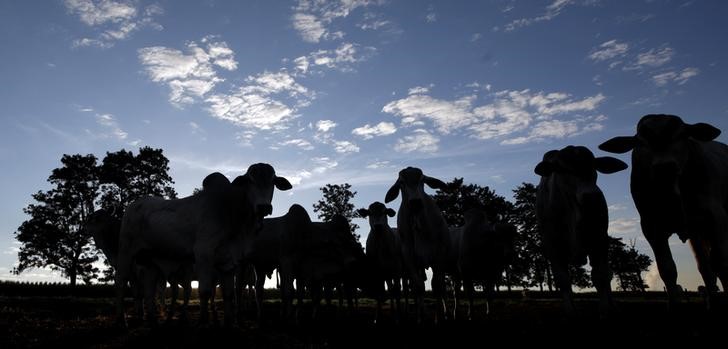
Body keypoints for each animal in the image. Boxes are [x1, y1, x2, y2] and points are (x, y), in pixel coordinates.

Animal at [115, 163, 292, 326]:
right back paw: (121, 321)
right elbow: (205, 292)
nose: (264, 207)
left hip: (151, 261)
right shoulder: (203, 254)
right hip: (125, 252)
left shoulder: (230, 261)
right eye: (250, 180)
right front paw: (203, 321)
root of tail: (133, 205)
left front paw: (229, 323)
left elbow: (228, 294)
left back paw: (153, 321)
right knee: (120, 282)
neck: (230, 212)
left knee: (149, 290)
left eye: (273, 181)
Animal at [532, 145, 628, 314]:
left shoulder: (600, 240)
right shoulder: (552, 247)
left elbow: (601, 275)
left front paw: (605, 308)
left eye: (594, 166)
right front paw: (570, 309)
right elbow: (563, 279)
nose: (592, 196)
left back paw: (612, 303)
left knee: (607, 273)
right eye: (563, 169)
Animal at [596, 114, 728, 304]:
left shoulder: (715, 217)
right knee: (704, 267)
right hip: (695, 232)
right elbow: (667, 270)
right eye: (641, 141)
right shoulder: (652, 227)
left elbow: (721, 263)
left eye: (682, 134)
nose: (664, 167)